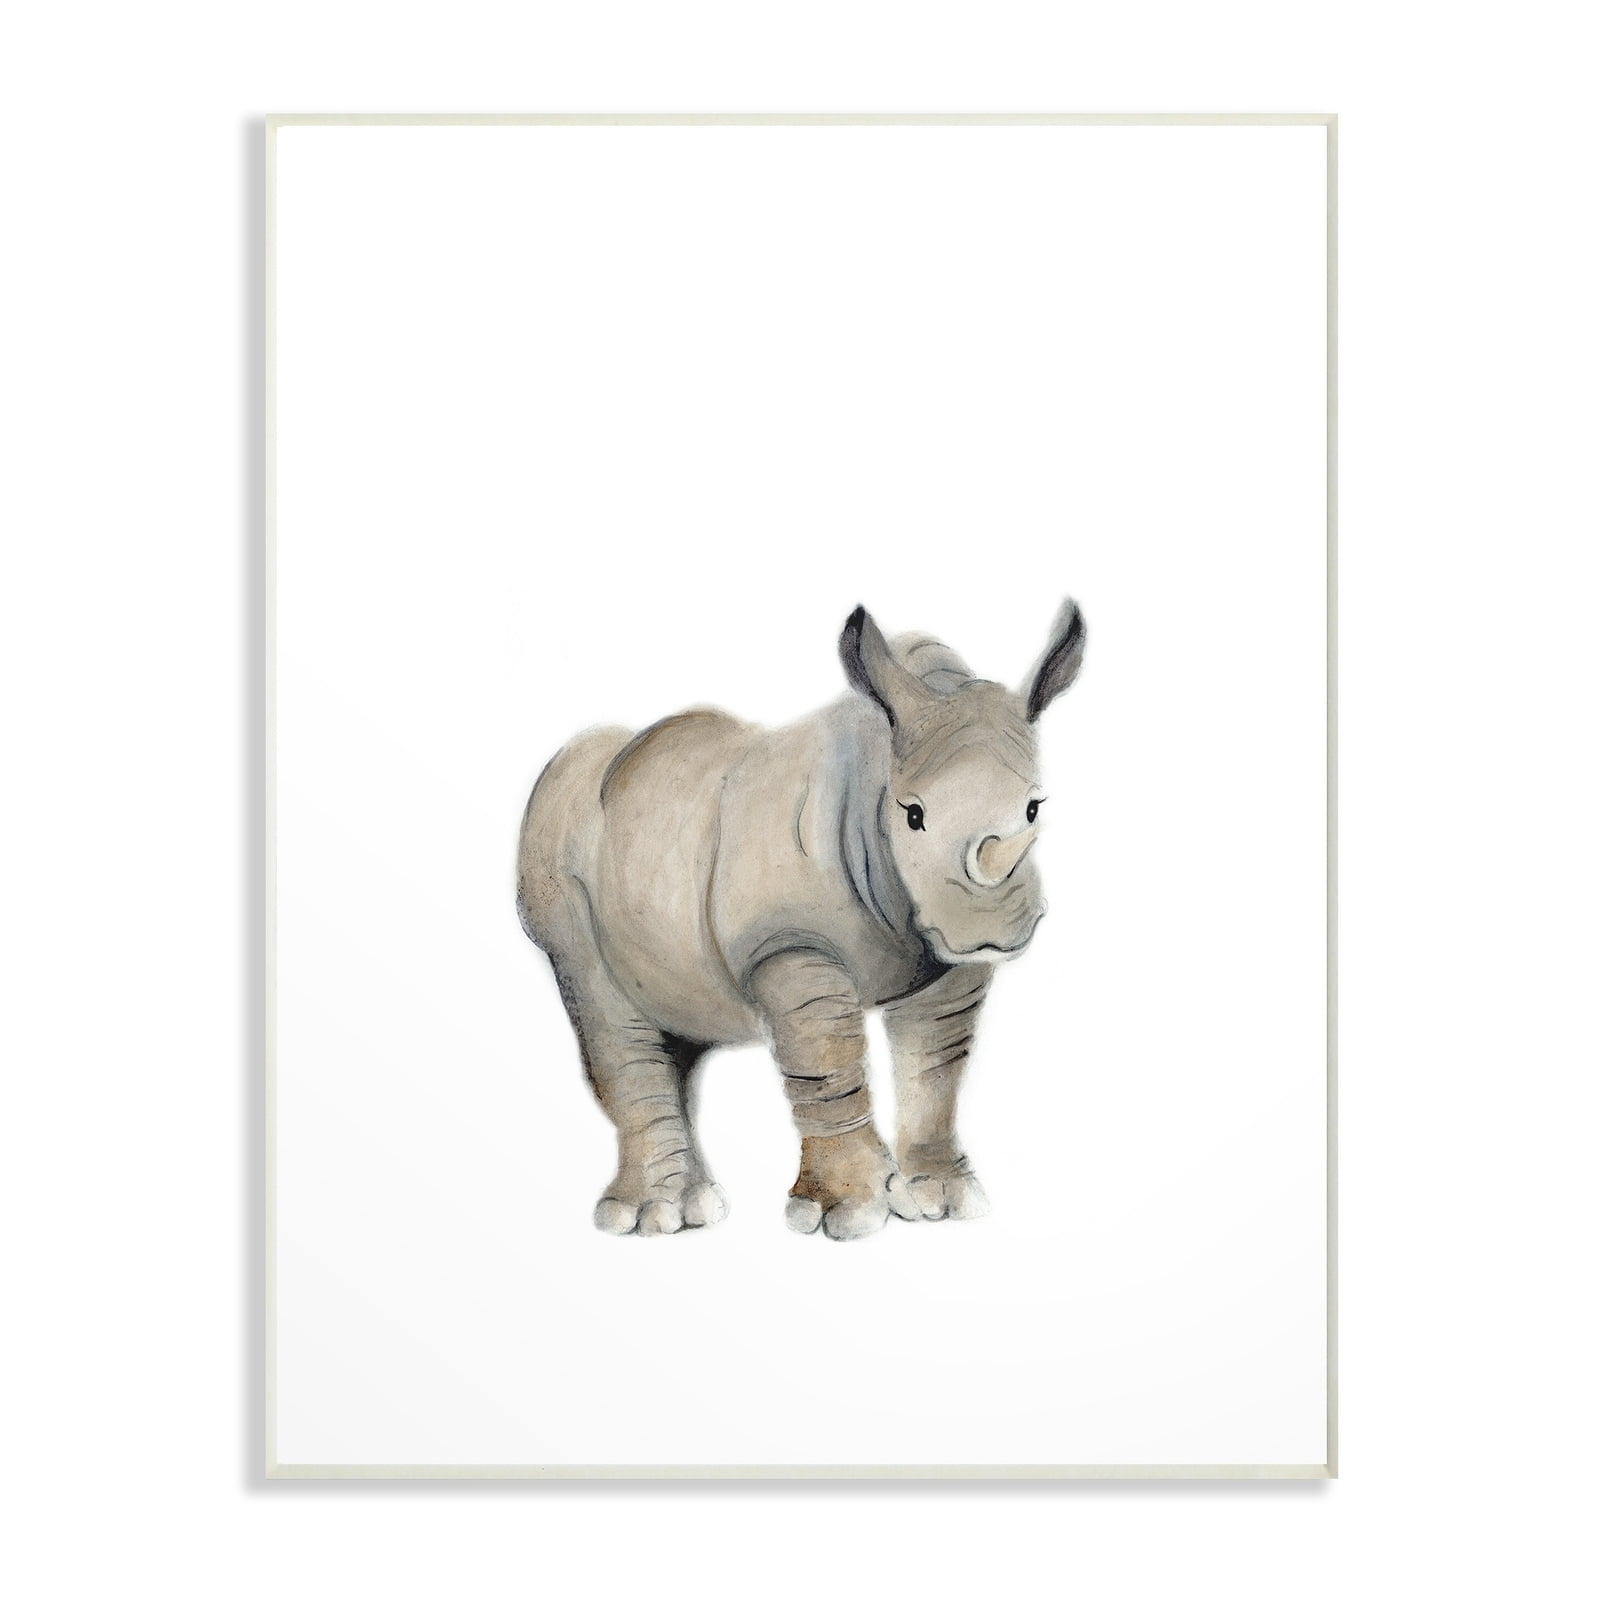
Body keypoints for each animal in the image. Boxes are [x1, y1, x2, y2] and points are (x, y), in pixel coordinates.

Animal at [516, 600, 1087, 1240]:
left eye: (1035, 808)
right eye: (912, 816)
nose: (990, 929)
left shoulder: (944, 956)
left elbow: (938, 1066)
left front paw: (944, 1199)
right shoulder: (787, 942)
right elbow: (827, 1061)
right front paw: (852, 1214)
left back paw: (696, 1210)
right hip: (557, 854)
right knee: (605, 1006)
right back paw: (646, 1218)